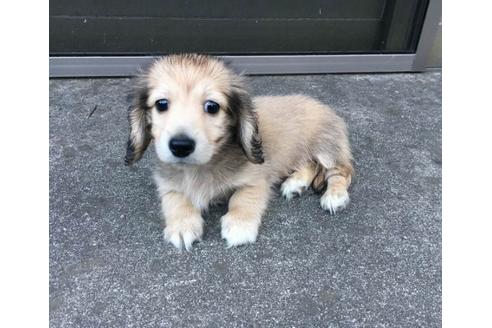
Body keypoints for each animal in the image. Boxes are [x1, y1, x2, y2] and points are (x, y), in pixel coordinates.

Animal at [125, 53, 352, 250]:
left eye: (212, 106)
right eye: (161, 104)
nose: (181, 145)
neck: (199, 168)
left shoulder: (256, 180)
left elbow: (242, 198)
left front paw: (239, 225)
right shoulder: (167, 185)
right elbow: (176, 201)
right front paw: (182, 225)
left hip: (326, 146)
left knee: (341, 171)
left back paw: (334, 195)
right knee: (310, 165)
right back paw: (296, 183)